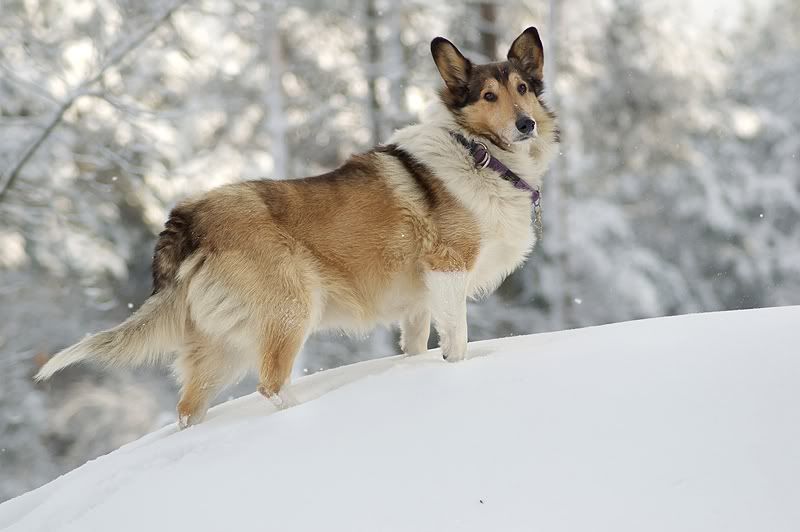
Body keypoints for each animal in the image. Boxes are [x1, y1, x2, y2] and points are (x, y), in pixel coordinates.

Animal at [36, 28, 556, 428]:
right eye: (488, 96)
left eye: (523, 89)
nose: (526, 124)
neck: (480, 155)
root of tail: (191, 216)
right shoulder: (448, 270)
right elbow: (459, 345)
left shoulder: (419, 302)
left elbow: (416, 350)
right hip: (289, 313)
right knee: (270, 387)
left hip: (221, 346)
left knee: (188, 409)